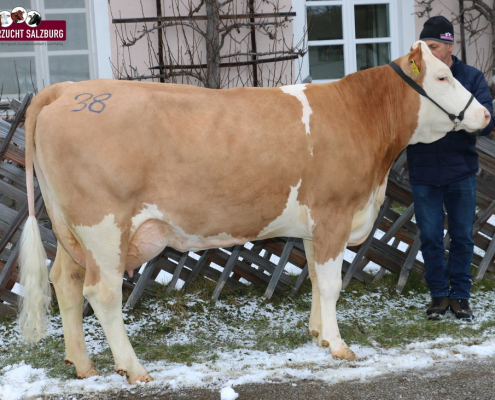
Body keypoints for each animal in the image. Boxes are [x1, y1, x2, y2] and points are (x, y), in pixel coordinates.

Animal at [17, 41, 490, 384]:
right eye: (444, 75)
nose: (485, 113)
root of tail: (65, 89)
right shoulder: (334, 213)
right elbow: (332, 283)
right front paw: (339, 346)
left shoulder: (314, 225)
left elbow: (314, 277)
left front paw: (318, 335)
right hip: (104, 227)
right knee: (103, 293)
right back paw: (134, 370)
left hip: (72, 231)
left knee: (66, 282)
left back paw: (82, 365)